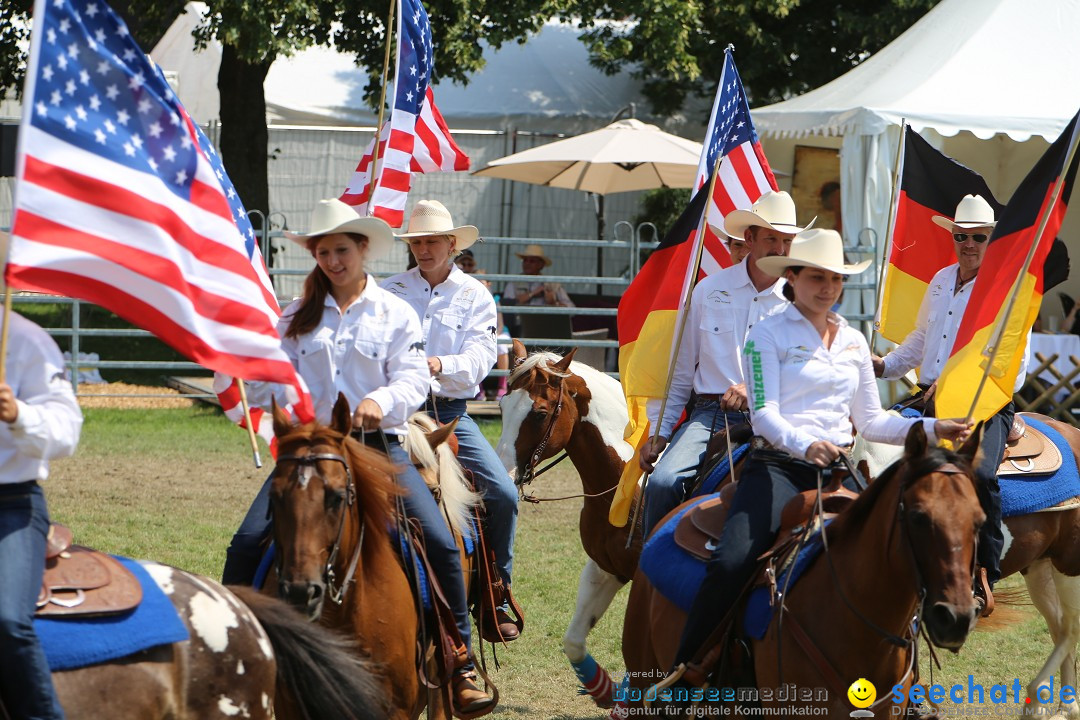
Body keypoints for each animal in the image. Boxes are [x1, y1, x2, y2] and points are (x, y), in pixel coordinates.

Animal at [855, 410, 1080, 720]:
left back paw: (1039, 702)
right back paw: (1062, 706)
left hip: (1070, 562)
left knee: (1070, 627)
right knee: (1059, 627)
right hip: (1040, 566)